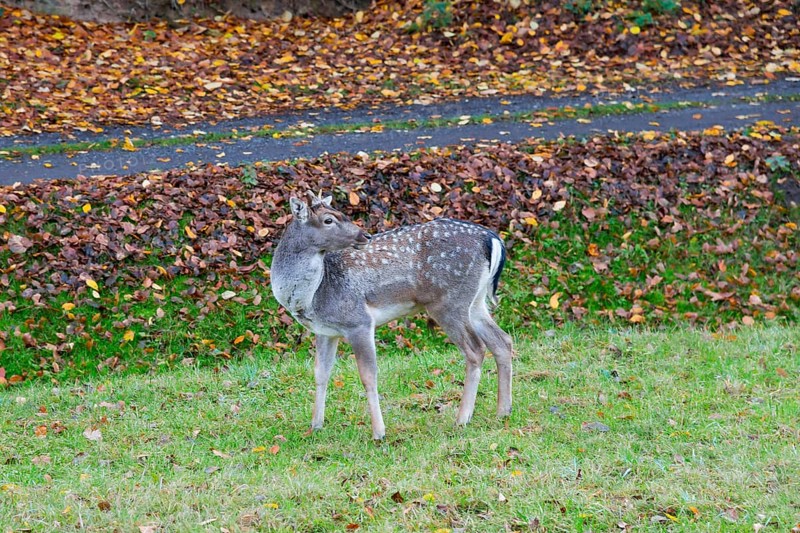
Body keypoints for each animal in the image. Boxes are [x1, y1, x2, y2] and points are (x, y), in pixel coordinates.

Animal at [270, 191, 513, 440]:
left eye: (340, 214)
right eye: (329, 219)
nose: (364, 235)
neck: (314, 294)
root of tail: (493, 240)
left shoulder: (359, 321)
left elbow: (368, 376)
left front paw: (379, 432)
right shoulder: (326, 331)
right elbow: (321, 373)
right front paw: (315, 426)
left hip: (449, 302)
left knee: (475, 349)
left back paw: (462, 418)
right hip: (475, 302)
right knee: (502, 340)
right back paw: (503, 411)